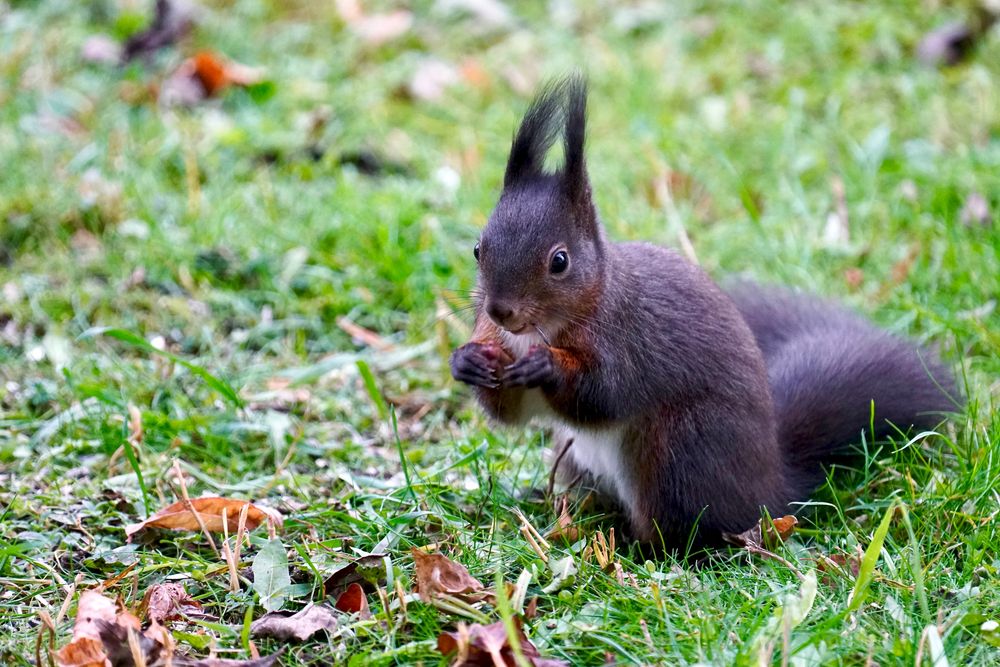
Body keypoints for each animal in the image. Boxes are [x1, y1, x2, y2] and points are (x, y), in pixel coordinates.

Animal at [448, 75, 960, 552]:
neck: (544, 327)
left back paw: (643, 547)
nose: (500, 310)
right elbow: (512, 412)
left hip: (678, 454)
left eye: (560, 261)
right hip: (580, 457)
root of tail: (772, 488)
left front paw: (548, 365)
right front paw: (468, 360)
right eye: (477, 249)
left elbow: (604, 393)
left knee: (685, 530)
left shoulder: (626, 340)